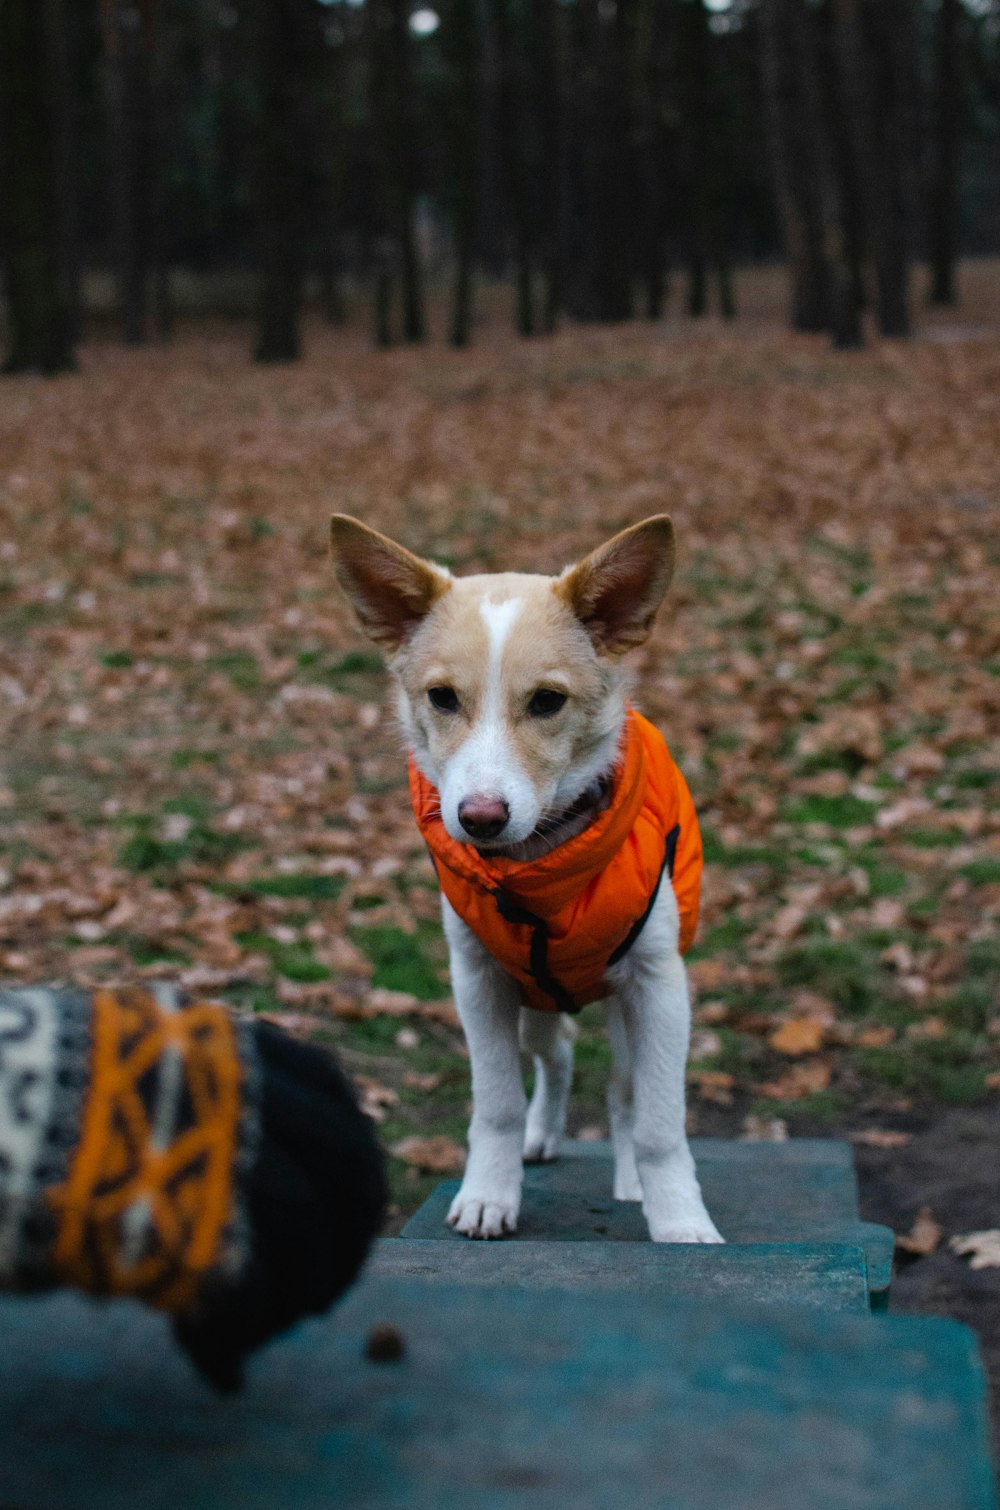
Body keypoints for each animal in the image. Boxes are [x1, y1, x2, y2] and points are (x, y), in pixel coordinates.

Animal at [332, 513, 725, 1244]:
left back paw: (631, 1181)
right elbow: (497, 1105)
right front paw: (491, 1192)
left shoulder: (658, 986)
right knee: (559, 1054)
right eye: (441, 698)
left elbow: (659, 1122)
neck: (541, 875)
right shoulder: (479, 981)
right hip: (535, 1004)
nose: (480, 818)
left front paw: (681, 1220)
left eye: (547, 701)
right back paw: (540, 1137)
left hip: (623, 1010)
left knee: (622, 1093)